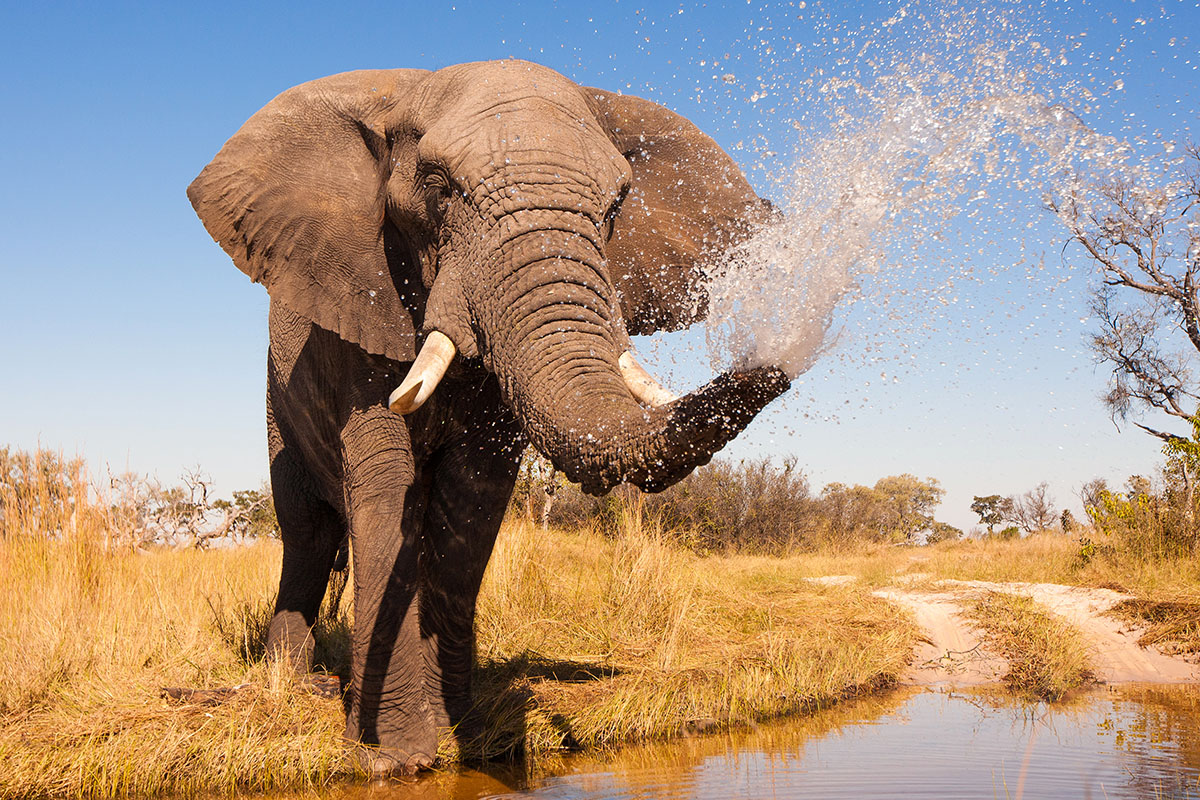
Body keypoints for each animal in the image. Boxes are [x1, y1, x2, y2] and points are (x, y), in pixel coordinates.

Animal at [184, 57, 787, 777]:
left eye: (617, 205)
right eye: (438, 187)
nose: (780, 359)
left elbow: (472, 498)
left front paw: (465, 733)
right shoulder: (360, 305)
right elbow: (386, 484)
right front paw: (394, 758)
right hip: (279, 404)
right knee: (306, 531)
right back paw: (292, 682)